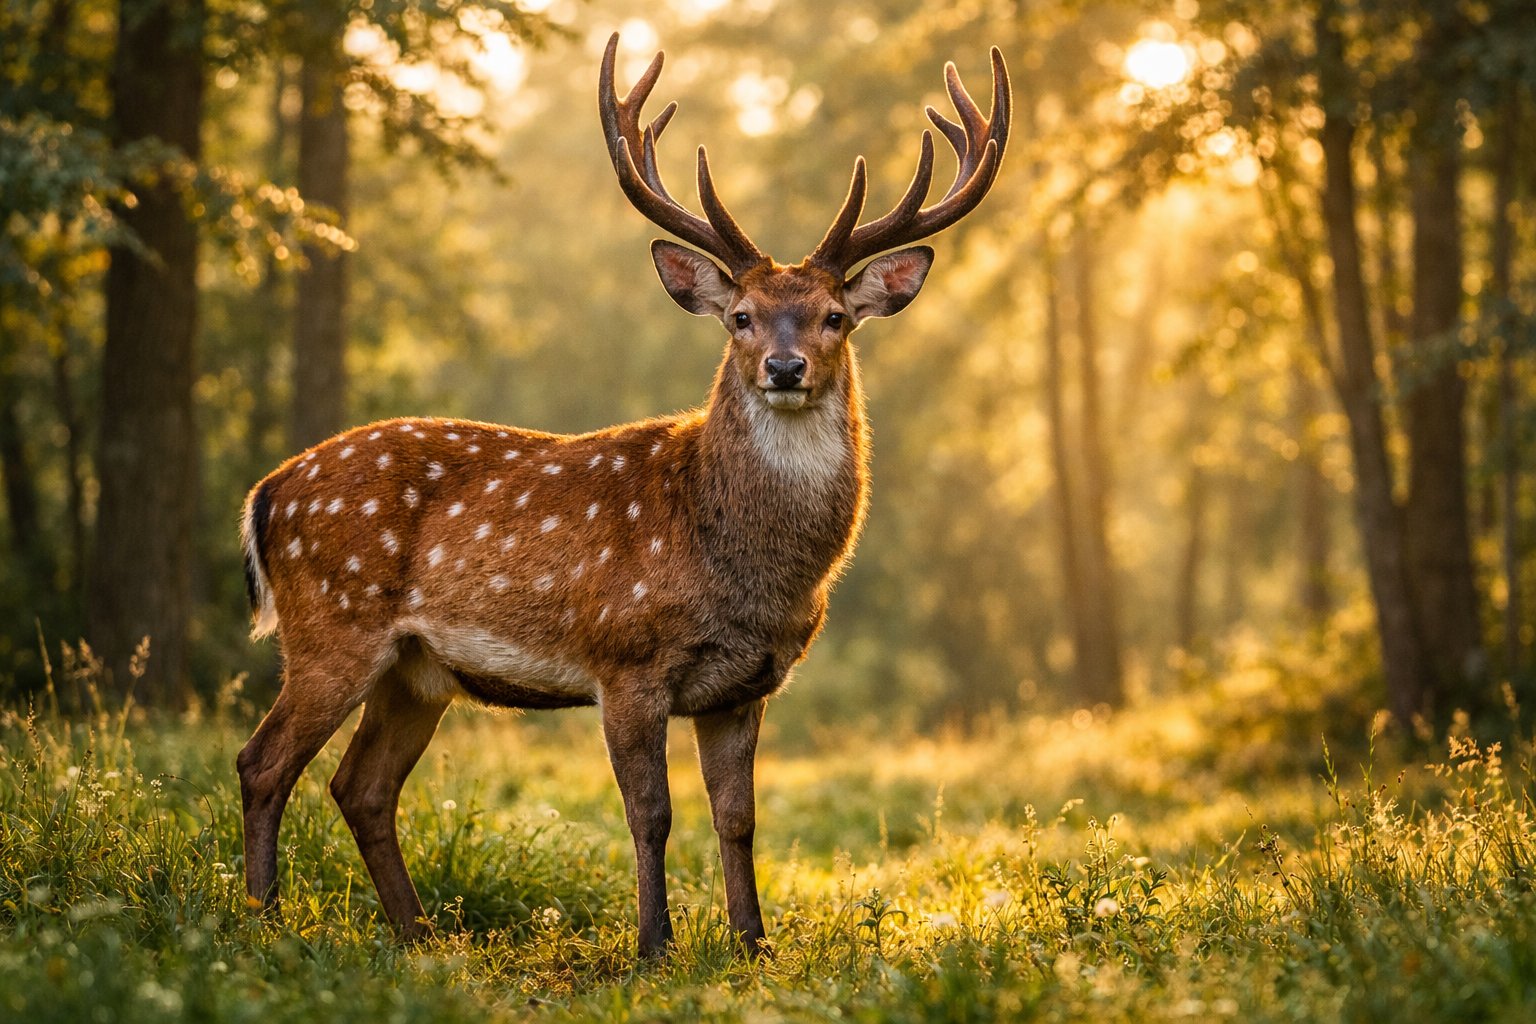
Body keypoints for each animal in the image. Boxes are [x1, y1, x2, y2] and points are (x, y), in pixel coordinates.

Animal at [236, 31, 1009, 958]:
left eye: (834, 316)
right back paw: (264, 923)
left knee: (360, 784)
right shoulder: (627, 658)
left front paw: (753, 943)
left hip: (417, 670)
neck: (744, 572)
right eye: (741, 317)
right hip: (332, 624)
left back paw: (418, 935)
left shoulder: (747, 683)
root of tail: (268, 493)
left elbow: (738, 817)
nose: (784, 367)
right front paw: (655, 945)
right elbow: (652, 813)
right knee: (263, 763)